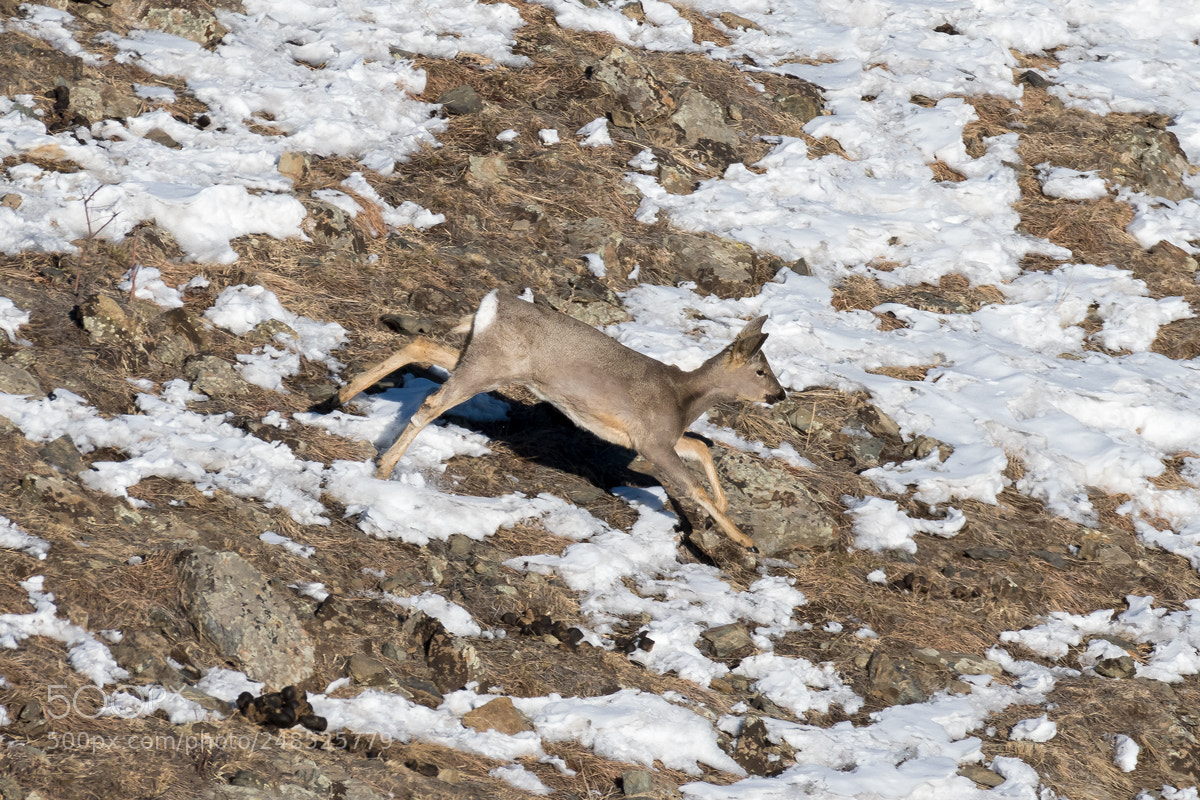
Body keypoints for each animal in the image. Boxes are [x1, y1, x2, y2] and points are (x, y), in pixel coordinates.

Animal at [316, 290, 787, 549]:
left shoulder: (656, 439)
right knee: (433, 403)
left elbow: (701, 446)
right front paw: (744, 540)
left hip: (484, 360)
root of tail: (490, 304)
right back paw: (383, 467)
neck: (683, 398)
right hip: (489, 365)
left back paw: (339, 396)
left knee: (422, 345)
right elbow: (690, 485)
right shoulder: (651, 441)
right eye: (761, 370)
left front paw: (723, 510)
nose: (780, 395)